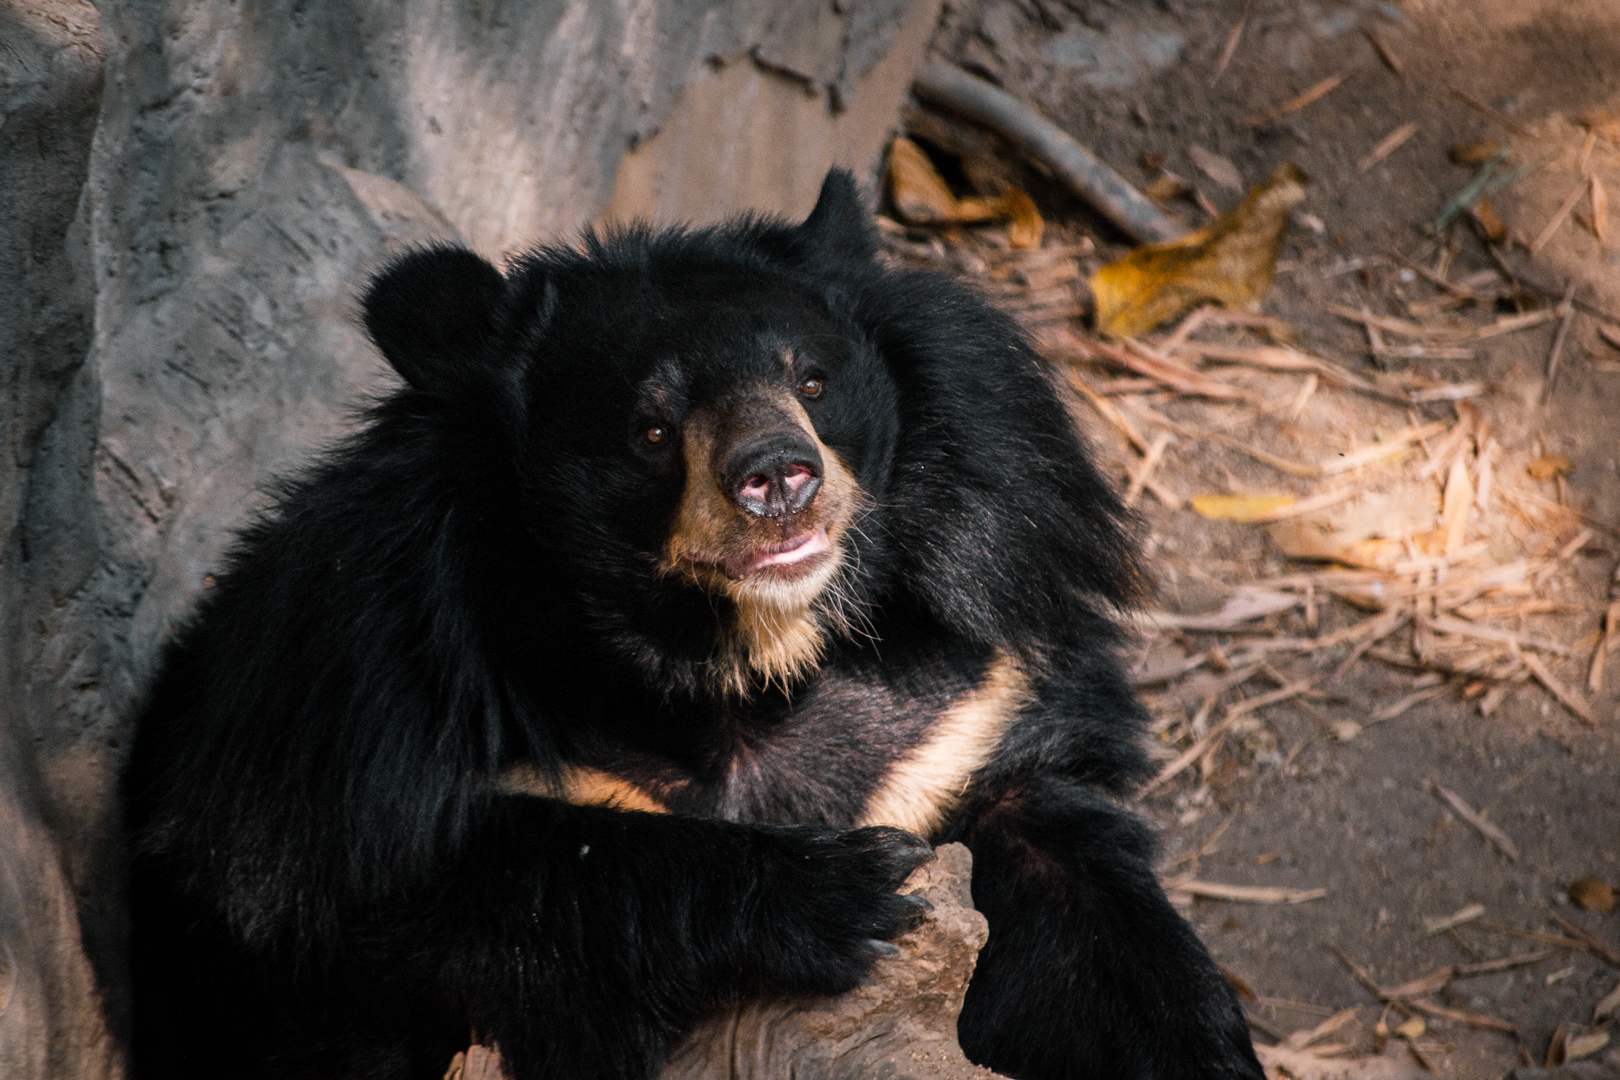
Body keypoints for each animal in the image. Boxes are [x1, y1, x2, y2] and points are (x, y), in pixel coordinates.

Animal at [124, 170, 1264, 1080]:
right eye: (652, 429)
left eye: (812, 379)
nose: (779, 478)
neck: (739, 664)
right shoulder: (364, 696)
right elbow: (406, 887)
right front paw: (848, 890)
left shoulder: (967, 716)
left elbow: (1095, 917)